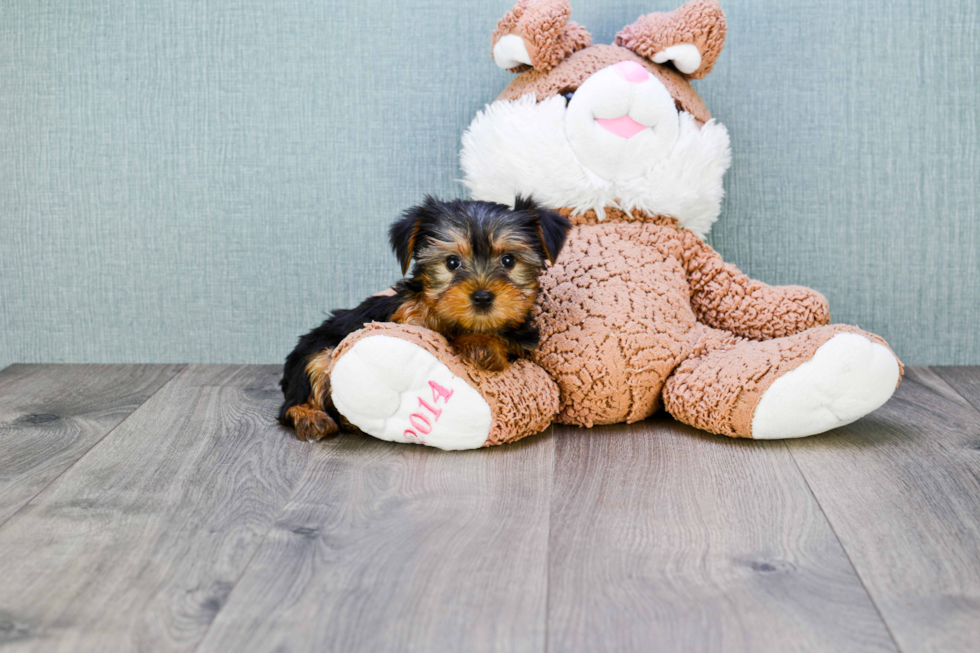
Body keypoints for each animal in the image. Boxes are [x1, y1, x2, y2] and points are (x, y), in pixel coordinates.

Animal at [276, 194, 572, 438]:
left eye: (509, 260)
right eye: (452, 262)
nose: (482, 297)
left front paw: (484, 345)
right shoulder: (403, 314)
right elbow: (424, 322)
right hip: (315, 354)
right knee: (292, 402)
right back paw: (311, 417)